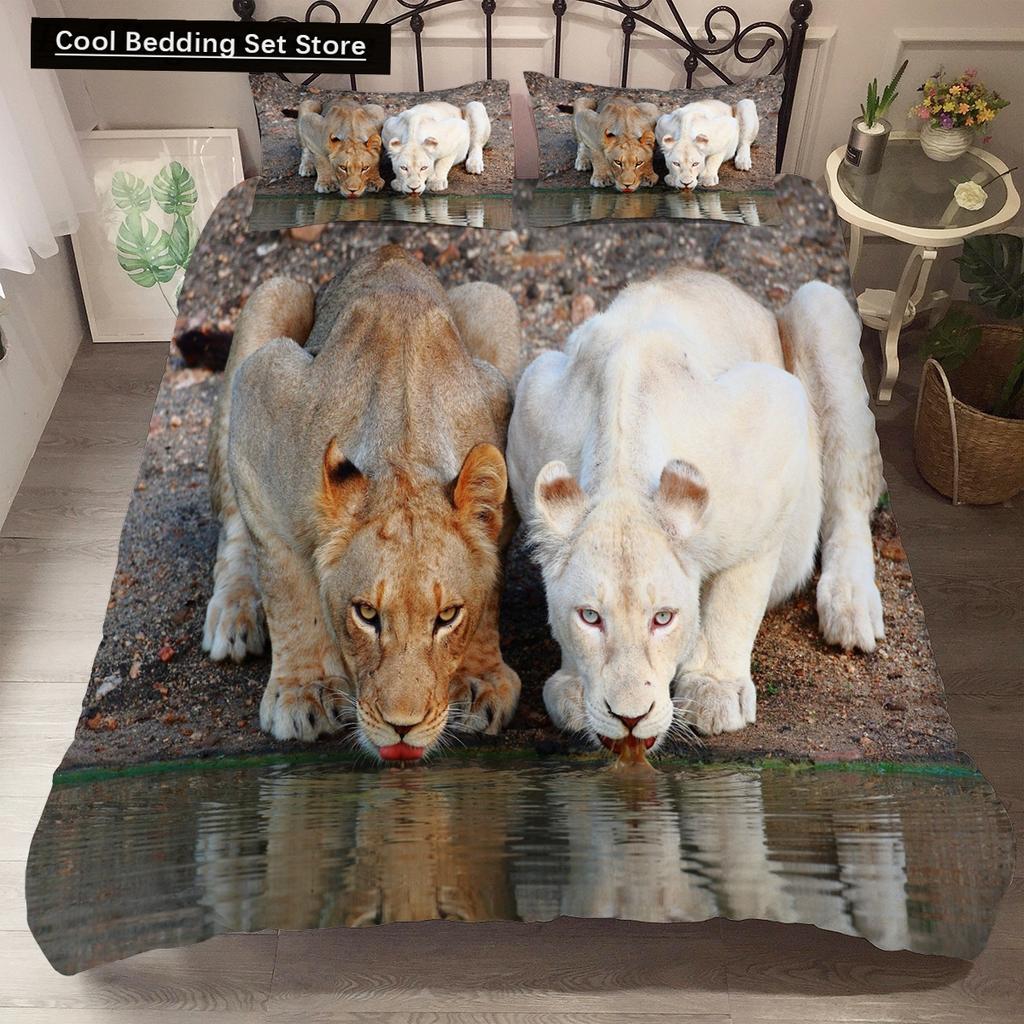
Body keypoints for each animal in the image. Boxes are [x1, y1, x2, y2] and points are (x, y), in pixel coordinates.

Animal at [202, 246, 522, 759]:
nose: (402, 728)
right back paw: (233, 614)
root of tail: (388, 251)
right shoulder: (260, 396)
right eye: (366, 615)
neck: (403, 451)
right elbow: (287, 586)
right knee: (233, 529)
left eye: (447, 617)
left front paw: (477, 679)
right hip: (274, 295)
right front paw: (305, 690)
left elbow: (489, 588)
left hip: (493, 301)